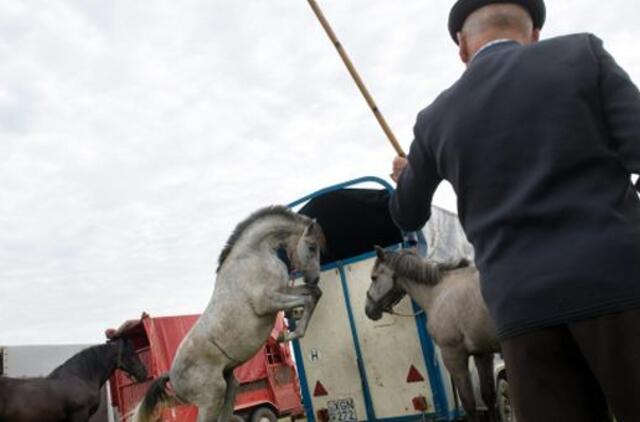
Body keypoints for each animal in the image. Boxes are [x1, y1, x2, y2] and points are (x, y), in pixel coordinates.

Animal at [134, 207, 324, 422]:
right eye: (312, 247)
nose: (314, 278)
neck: (254, 256)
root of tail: (172, 377)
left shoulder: (283, 290)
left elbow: (314, 294)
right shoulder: (268, 302)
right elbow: (306, 300)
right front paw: (288, 334)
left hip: (229, 385)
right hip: (213, 397)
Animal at [364, 247, 500, 422]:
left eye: (374, 277)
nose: (368, 309)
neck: (439, 292)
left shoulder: (453, 356)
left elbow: (469, 404)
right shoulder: (482, 354)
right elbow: (489, 397)